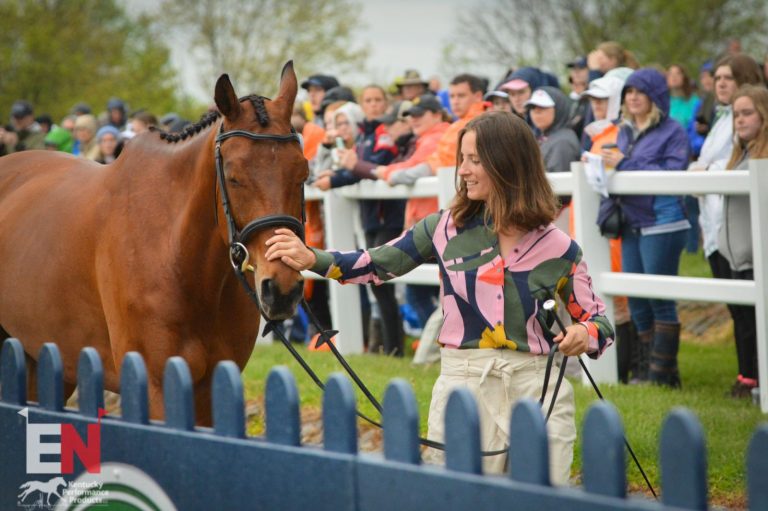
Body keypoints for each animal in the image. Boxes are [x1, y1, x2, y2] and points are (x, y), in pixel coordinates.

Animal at [0, 62, 308, 425]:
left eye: (302, 173)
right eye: (234, 178)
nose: (282, 289)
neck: (177, 254)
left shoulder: (211, 390)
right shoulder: (156, 385)